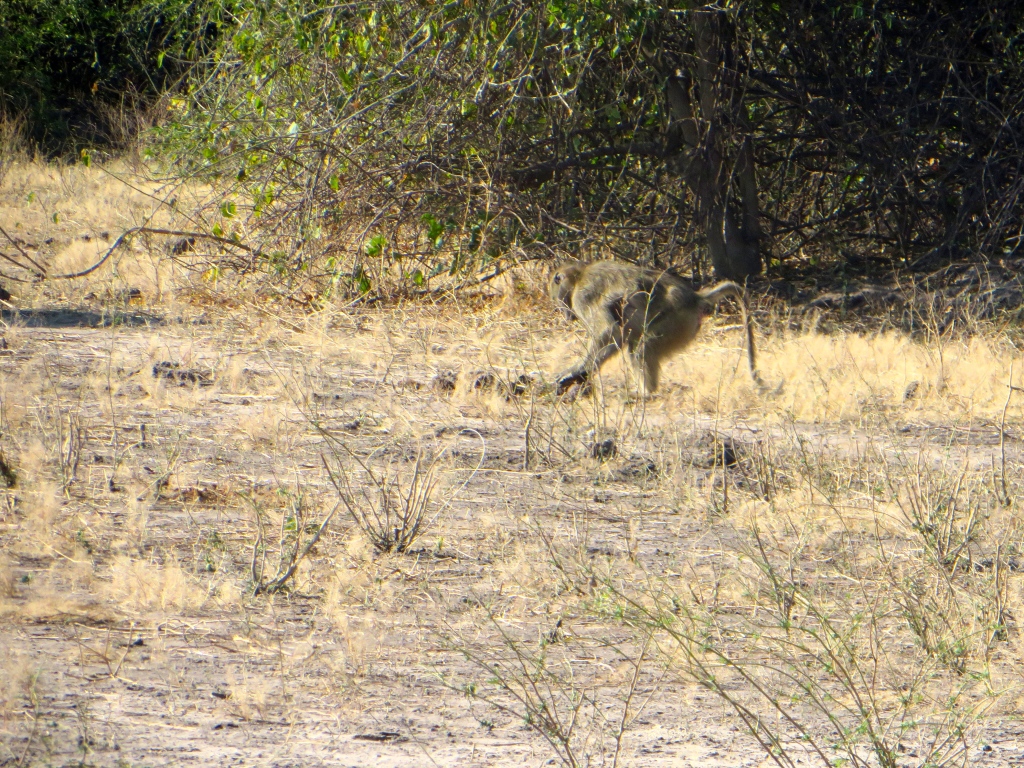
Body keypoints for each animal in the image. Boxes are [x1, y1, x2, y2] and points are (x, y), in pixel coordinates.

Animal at [548, 262, 757, 399]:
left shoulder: (584, 296)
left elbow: (609, 331)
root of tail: (694, 298)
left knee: (642, 348)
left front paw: (576, 371)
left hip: (677, 323)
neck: (579, 276)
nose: (565, 315)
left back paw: (645, 394)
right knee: (635, 346)